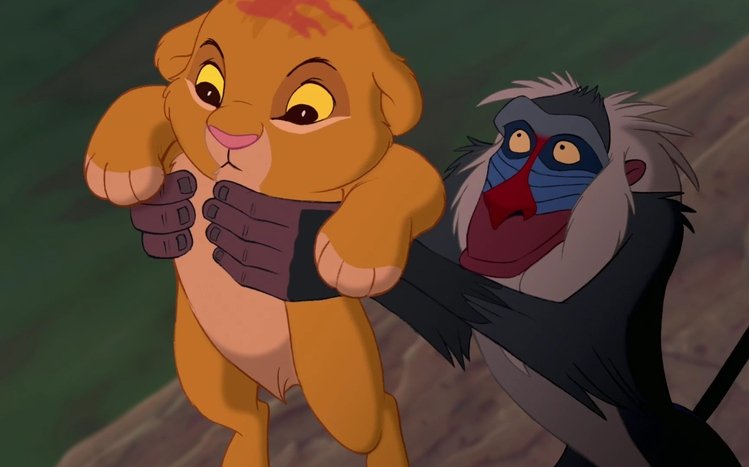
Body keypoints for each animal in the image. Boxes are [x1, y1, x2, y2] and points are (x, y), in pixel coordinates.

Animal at [82, 1, 445, 466]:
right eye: (208, 88)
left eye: (306, 112)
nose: (229, 135)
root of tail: (280, 380)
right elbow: (146, 98)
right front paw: (116, 170)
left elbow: (409, 174)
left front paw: (354, 257)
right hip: (205, 371)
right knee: (248, 418)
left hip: (342, 386)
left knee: (380, 411)